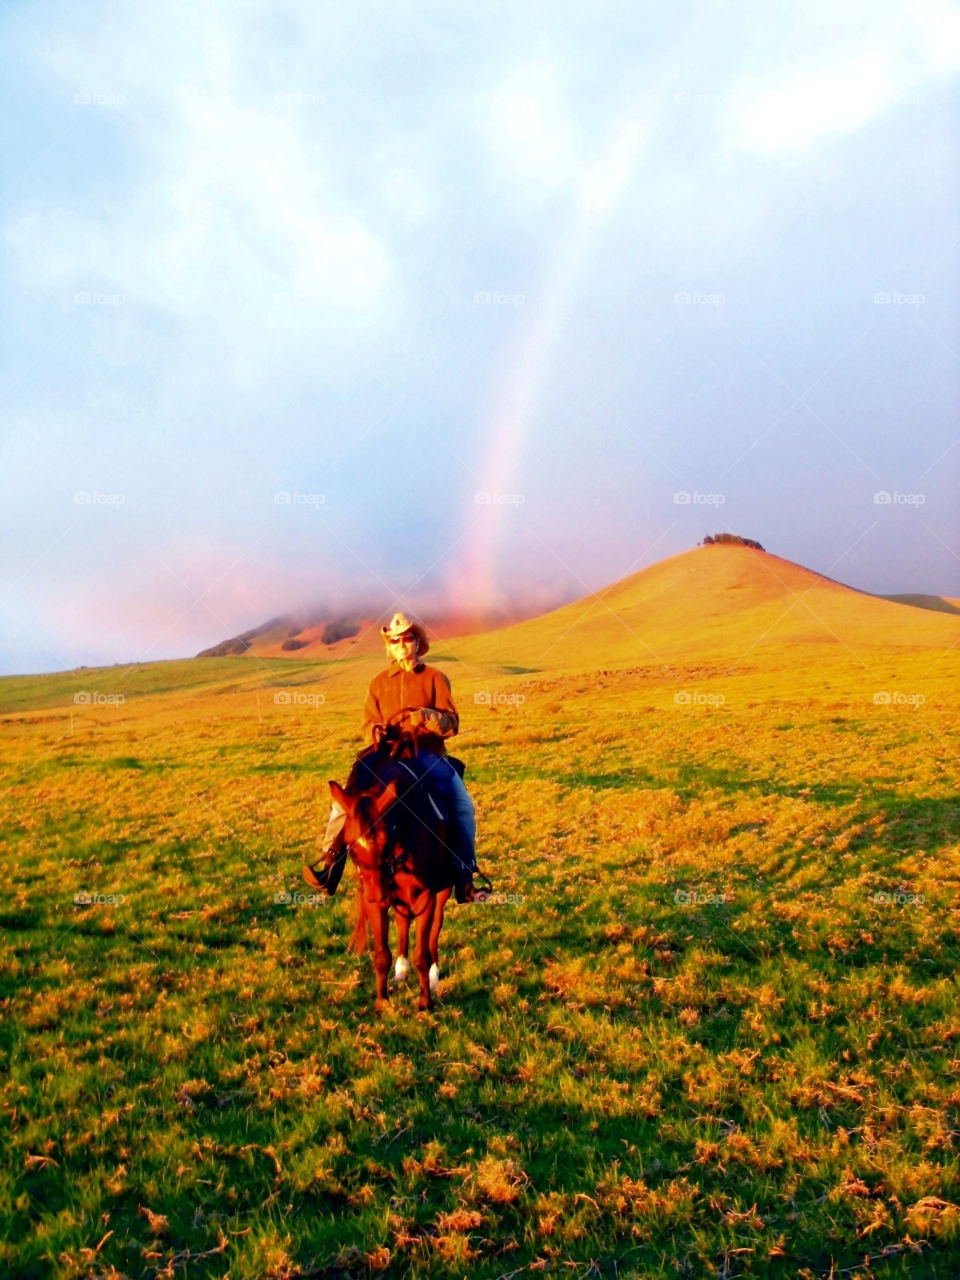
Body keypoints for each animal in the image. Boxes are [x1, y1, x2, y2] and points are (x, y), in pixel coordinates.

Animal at [330, 768, 453, 1008]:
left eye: (387, 840)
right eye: (350, 844)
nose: (376, 894)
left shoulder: (425, 897)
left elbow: (422, 954)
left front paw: (425, 1002)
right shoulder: (376, 904)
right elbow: (381, 955)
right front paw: (381, 1001)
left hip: (442, 892)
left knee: (436, 924)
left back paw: (433, 975)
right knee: (403, 920)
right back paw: (402, 969)